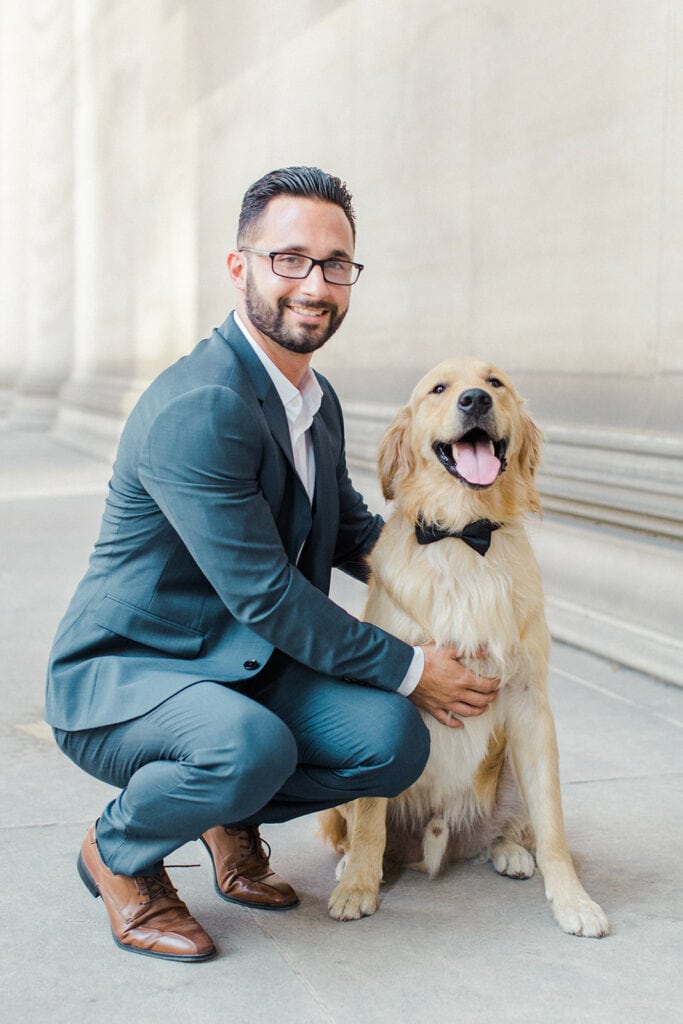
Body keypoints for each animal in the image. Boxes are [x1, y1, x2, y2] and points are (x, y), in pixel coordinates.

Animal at [319, 358, 610, 937]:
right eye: (438, 389)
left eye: (496, 382)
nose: (475, 400)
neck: (461, 535)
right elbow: (369, 819)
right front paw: (358, 886)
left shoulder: (531, 702)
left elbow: (553, 827)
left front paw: (573, 900)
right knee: (355, 827)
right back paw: (352, 865)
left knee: (518, 827)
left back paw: (510, 851)